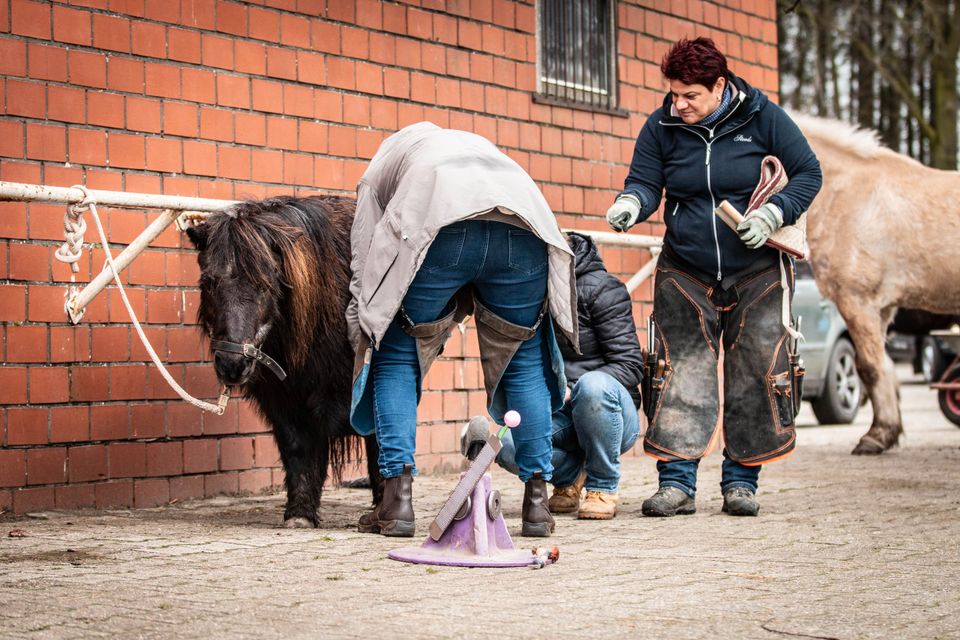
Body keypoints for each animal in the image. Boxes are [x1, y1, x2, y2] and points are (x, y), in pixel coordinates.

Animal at [186, 198, 380, 528]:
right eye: (209, 282)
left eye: (266, 285)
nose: (232, 364)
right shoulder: (281, 395)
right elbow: (297, 447)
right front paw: (299, 515)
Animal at [792, 115, 960, 456]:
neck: (848, 193)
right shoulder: (881, 309)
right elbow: (883, 366)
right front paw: (887, 430)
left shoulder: (858, 302)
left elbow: (870, 365)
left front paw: (875, 436)